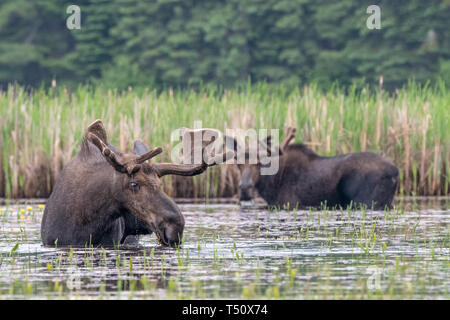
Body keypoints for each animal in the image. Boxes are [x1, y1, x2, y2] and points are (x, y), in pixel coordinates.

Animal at [230, 126, 400, 211]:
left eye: (260, 163)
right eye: (238, 163)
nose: (244, 187)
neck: (271, 184)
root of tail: (396, 172)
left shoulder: (289, 203)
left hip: (366, 202)